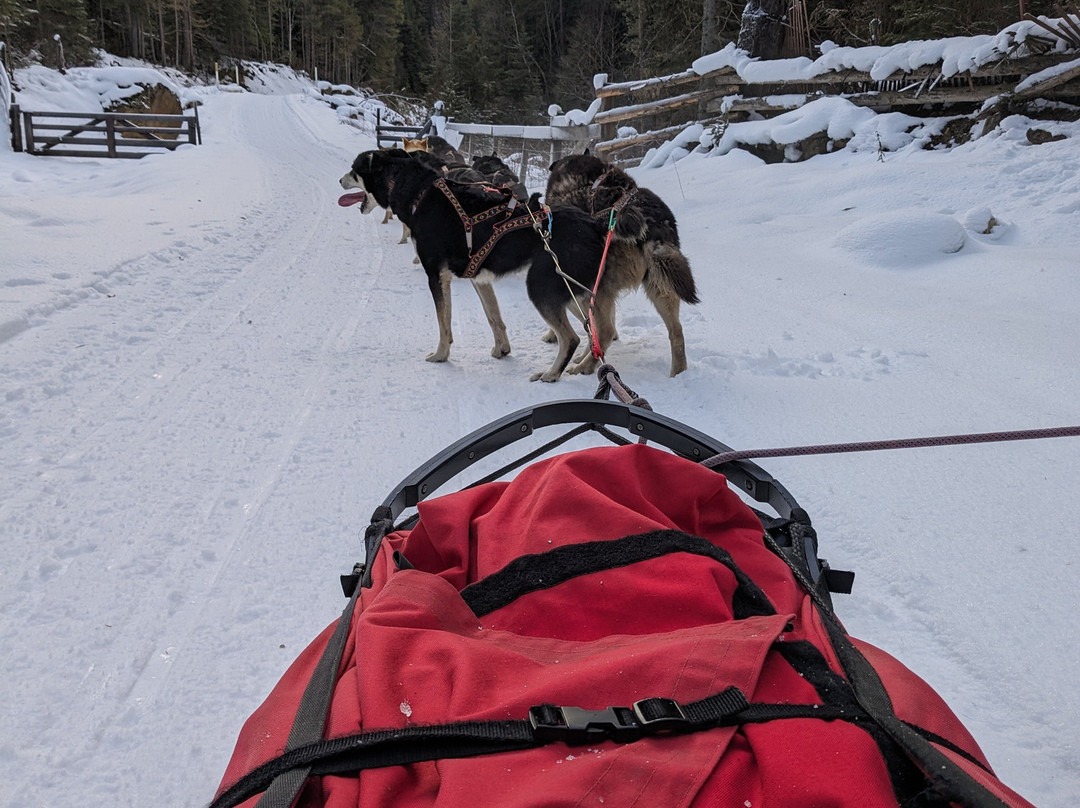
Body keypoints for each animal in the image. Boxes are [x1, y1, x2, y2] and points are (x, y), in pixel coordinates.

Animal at [343, 150, 617, 384]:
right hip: (572, 292)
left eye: (353, 169)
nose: (339, 180)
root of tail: (594, 225)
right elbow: (492, 317)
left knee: (572, 337)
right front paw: (501, 349)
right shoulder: (478, 279)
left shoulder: (436, 275)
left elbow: (443, 322)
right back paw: (584, 363)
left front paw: (440, 355)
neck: (419, 193)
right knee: (601, 330)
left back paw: (553, 373)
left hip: (543, 289)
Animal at [548, 153, 699, 378]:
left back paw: (584, 367)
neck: (595, 179)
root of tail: (652, 221)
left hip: (593, 287)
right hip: (661, 287)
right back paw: (678, 373)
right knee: (676, 331)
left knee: (605, 331)